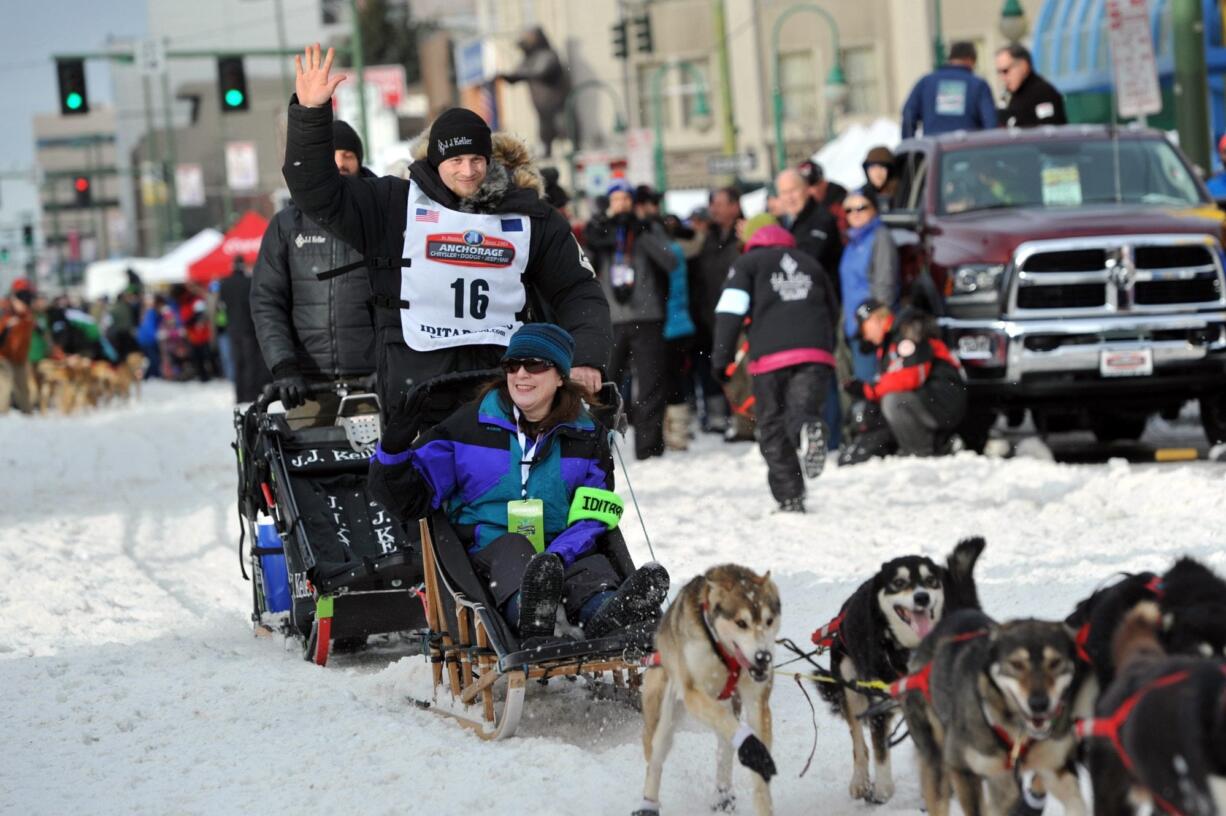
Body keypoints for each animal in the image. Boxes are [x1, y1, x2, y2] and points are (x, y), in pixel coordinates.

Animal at [637, 563, 779, 813]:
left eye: (769, 620)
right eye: (741, 623)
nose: (763, 657)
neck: (725, 655)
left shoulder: (756, 702)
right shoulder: (694, 693)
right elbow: (730, 726)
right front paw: (750, 746)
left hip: (731, 705)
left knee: (725, 745)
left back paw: (723, 795)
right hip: (663, 721)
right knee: (655, 760)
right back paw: (648, 806)